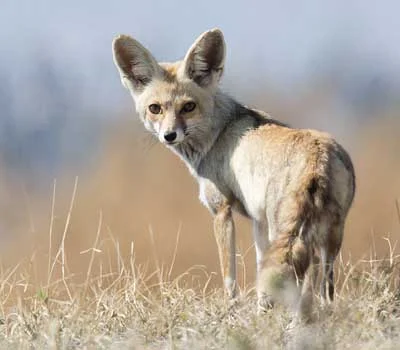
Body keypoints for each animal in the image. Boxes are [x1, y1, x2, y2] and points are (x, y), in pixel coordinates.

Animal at [111, 28, 354, 318]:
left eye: (188, 107)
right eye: (155, 108)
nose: (169, 135)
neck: (218, 135)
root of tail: (319, 156)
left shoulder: (221, 210)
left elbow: (229, 275)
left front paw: (232, 311)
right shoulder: (258, 222)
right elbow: (261, 271)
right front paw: (262, 314)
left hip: (288, 229)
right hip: (329, 237)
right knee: (325, 288)